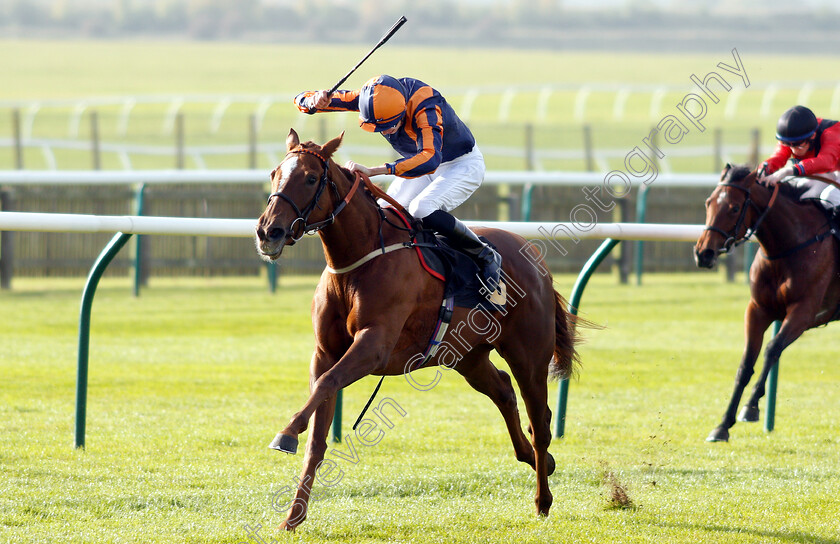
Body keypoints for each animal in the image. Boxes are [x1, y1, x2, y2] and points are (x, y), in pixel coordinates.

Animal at [253, 129, 580, 532]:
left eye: (311, 178)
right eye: (273, 174)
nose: (268, 231)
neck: (358, 259)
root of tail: (535, 260)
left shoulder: (374, 344)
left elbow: (328, 384)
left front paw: (286, 432)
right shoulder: (325, 351)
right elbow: (318, 427)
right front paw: (292, 516)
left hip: (529, 355)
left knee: (540, 420)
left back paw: (542, 498)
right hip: (467, 356)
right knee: (504, 392)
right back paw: (539, 460)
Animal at [696, 165, 840, 442]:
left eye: (734, 208)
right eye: (708, 202)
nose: (703, 253)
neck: (790, 245)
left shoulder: (804, 311)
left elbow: (773, 349)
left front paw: (751, 408)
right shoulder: (757, 310)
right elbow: (746, 363)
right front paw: (722, 425)